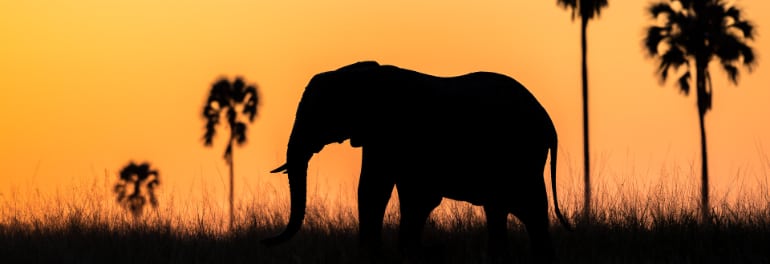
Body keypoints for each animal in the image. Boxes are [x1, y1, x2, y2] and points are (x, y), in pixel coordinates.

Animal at [260, 61, 568, 262]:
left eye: (317, 113)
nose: (265, 241)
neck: (361, 74)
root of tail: (549, 122)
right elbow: (397, 194)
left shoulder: (391, 133)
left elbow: (378, 190)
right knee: (506, 211)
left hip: (521, 155)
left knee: (529, 209)